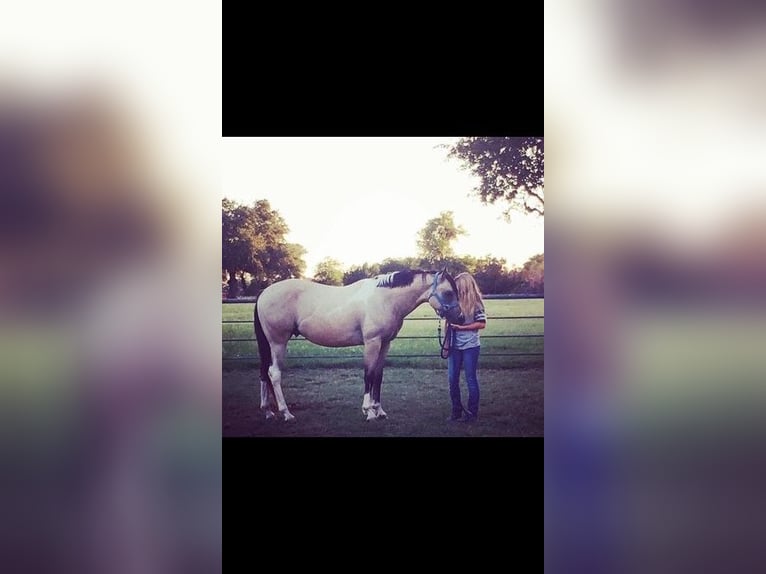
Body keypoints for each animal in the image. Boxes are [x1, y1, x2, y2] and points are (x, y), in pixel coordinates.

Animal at [255, 270, 464, 424]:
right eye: (448, 293)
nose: (461, 318)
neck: (385, 300)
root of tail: (264, 293)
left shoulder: (385, 343)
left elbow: (378, 376)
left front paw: (379, 411)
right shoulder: (372, 342)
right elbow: (368, 375)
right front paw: (368, 411)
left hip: (269, 344)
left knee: (264, 372)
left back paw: (268, 411)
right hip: (278, 342)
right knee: (274, 373)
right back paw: (286, 413)